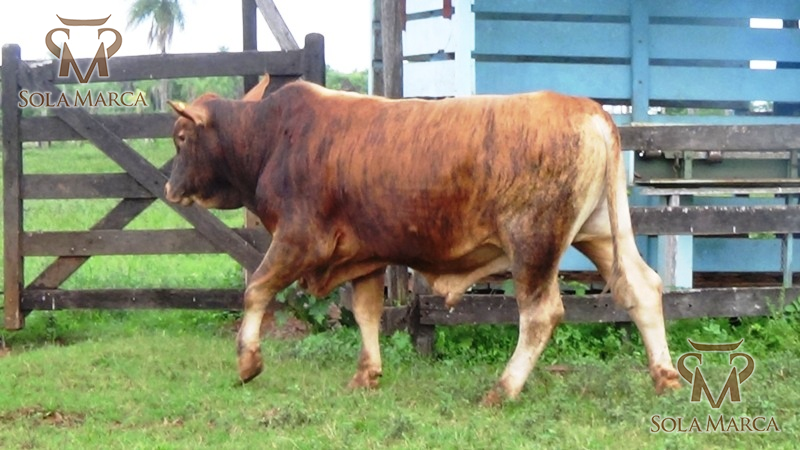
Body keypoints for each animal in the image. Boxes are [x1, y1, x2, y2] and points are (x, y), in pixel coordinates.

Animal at [165, 76, 681, 404]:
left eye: (181, 137)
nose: (169, 188)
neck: (272, 137)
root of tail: (589, 109)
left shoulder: (300, 240)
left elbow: (256, 289)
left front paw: (248, 362)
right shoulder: (365, 253)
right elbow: (366, 313)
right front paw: (366, 374)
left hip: (533, 242)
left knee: (541, 314)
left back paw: (503, 389)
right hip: (600, 231)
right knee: (640, 288)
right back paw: (667, 378)